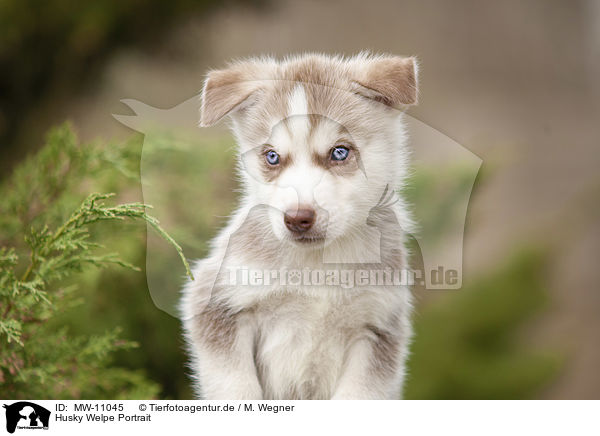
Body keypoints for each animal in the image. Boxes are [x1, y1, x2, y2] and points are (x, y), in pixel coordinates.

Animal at [180, 52, 420, 400]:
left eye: (340, 152)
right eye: (272, 157)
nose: (297, 218)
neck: (316, 266)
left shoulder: (377, 328)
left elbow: (357, 396)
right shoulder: (216, 303)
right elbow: (237, 388)